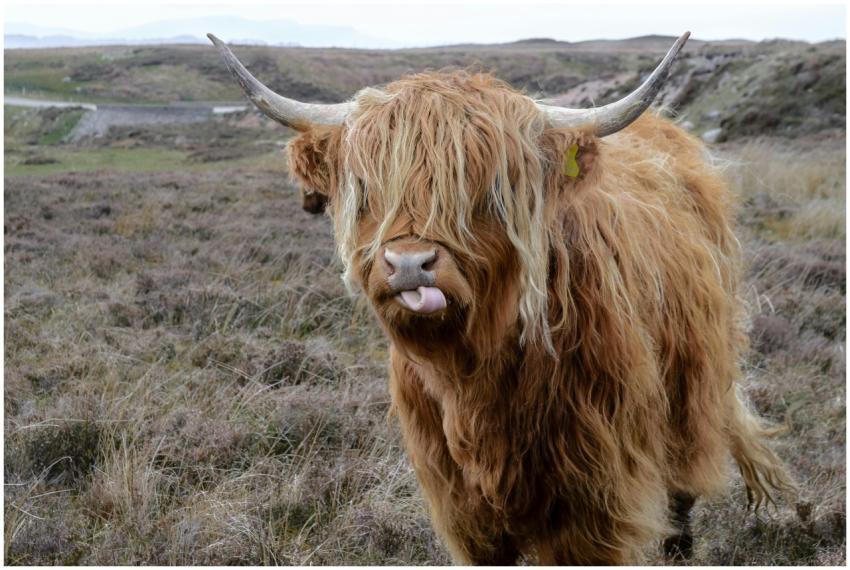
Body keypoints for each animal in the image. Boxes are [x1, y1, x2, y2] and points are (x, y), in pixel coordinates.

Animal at [209, 32, 795, 564]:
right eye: (368, 190)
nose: (408, 265)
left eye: (487, 190)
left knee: (682, 491)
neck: (476, 377)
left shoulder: (594, 498)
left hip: (693, 386)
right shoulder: (460, 502)